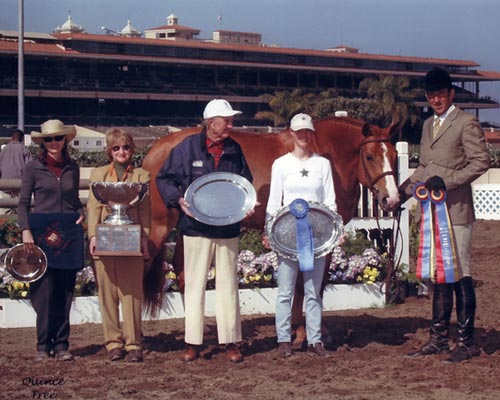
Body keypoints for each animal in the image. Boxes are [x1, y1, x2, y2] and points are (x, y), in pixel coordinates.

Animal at [143, 115, 400, 344]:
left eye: (394, 156)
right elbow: (307, 284)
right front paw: (302, 333)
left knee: (182, 272)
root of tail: (155, 150)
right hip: (160, 225)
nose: (392, 200)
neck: (326, 153)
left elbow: (313, 284)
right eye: (369, 156)